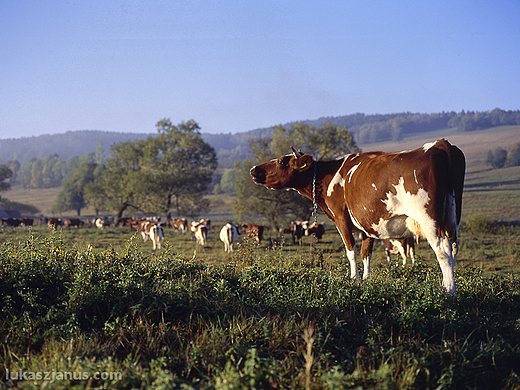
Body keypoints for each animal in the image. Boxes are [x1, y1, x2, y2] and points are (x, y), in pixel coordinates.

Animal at [250, 139, 466, 294]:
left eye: (280, 161)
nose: (254, 169)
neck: (330, 174)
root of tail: (441, 144)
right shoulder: (368, 223)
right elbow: (365, 253)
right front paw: (366, 280)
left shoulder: (341, 218)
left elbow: (351, 251)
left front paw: (353, 278)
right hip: (452, 218)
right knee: (453, 250)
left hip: (429, 219)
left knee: (442, 251)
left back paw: (449, 290)